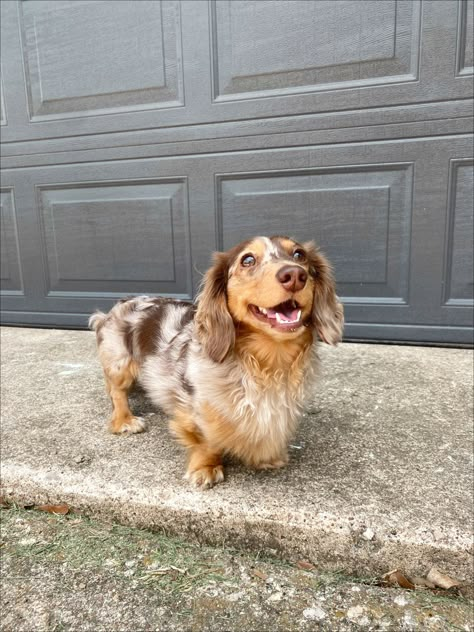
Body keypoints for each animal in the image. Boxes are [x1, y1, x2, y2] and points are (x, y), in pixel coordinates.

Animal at [89, 237, 342, 488]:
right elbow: (205, 439)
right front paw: (206, 468)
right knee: (116, 392)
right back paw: (125, 420)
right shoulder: (194, 406)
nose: (295, 275)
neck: (266, 363)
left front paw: (269, 457)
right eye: (247, 260)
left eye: (299, 255)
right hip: (120, 363)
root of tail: (123, 301)